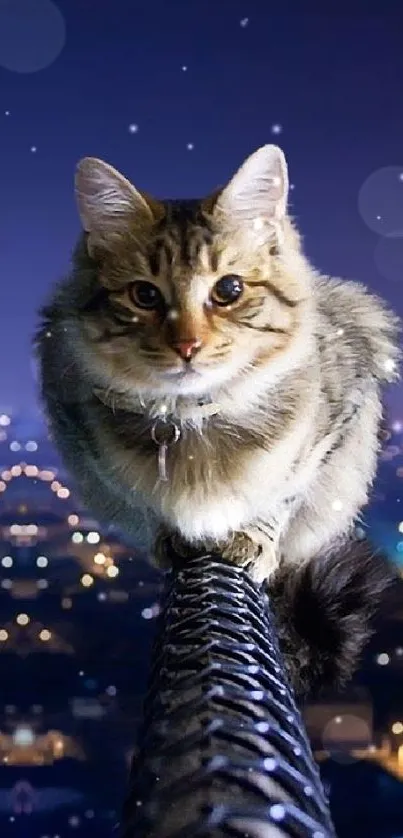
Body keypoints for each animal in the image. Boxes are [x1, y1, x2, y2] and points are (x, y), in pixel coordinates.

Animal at [35, 146, 400, 696]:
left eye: (228, 289)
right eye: (144, 296)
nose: (187, 346)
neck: (192, 418)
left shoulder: (337, 420)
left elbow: (283, 494)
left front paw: (254, 537)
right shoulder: (82, 439)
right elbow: (149, 506)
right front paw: (174, 534)